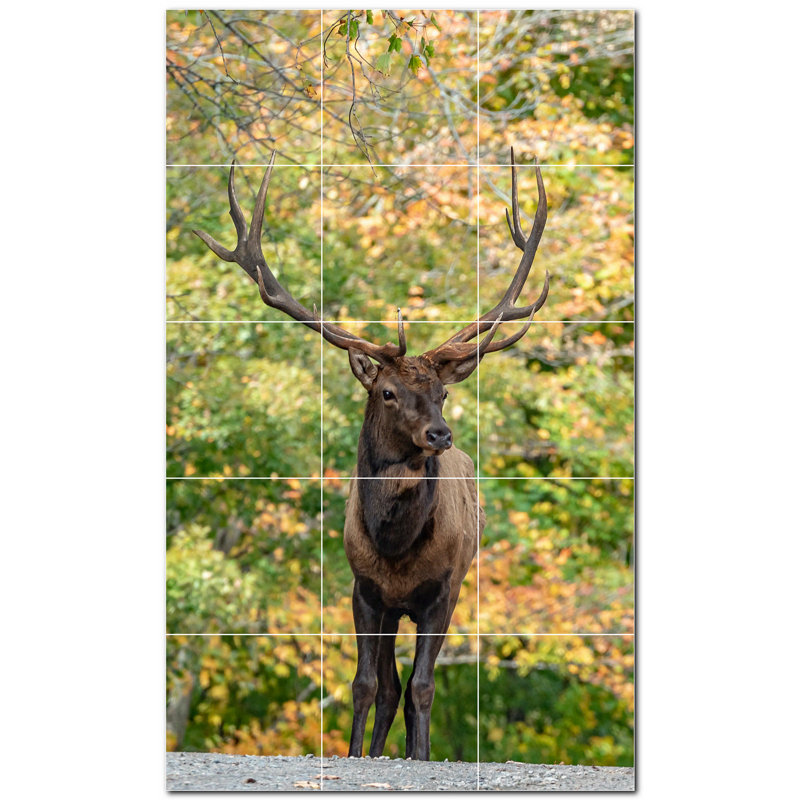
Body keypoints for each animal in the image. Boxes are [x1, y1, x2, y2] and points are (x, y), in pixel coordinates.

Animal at [193, 148, 549, 761]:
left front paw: (420, 757)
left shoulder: (444, 590)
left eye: (442, 391)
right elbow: (364, 685)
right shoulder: (363, 589)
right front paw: (357, 753)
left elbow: (424, 687)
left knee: (406, 687)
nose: (440, 434)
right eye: (387, 391)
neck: (396, 545)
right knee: (385, 687)